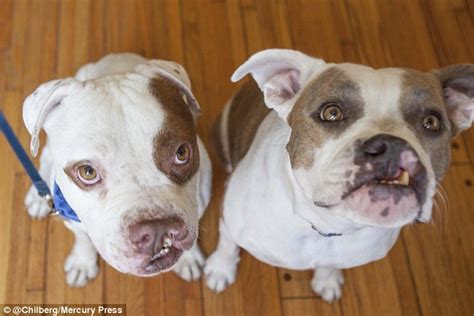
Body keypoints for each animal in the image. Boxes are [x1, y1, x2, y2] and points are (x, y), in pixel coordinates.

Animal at [22, 53, 211, 286]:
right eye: (87, 172)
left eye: (182, 153)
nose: (157, 230)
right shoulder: (74, 222)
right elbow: (83, 239)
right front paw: (82, 263)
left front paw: (189, 258)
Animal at [205, 48, 474, 302]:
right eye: (331, 112)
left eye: (432, 122)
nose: (392, 146)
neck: (328, 225)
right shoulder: (229, 219)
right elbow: (227, 244)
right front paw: (220, 270)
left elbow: (330, 265)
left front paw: (327, 279)